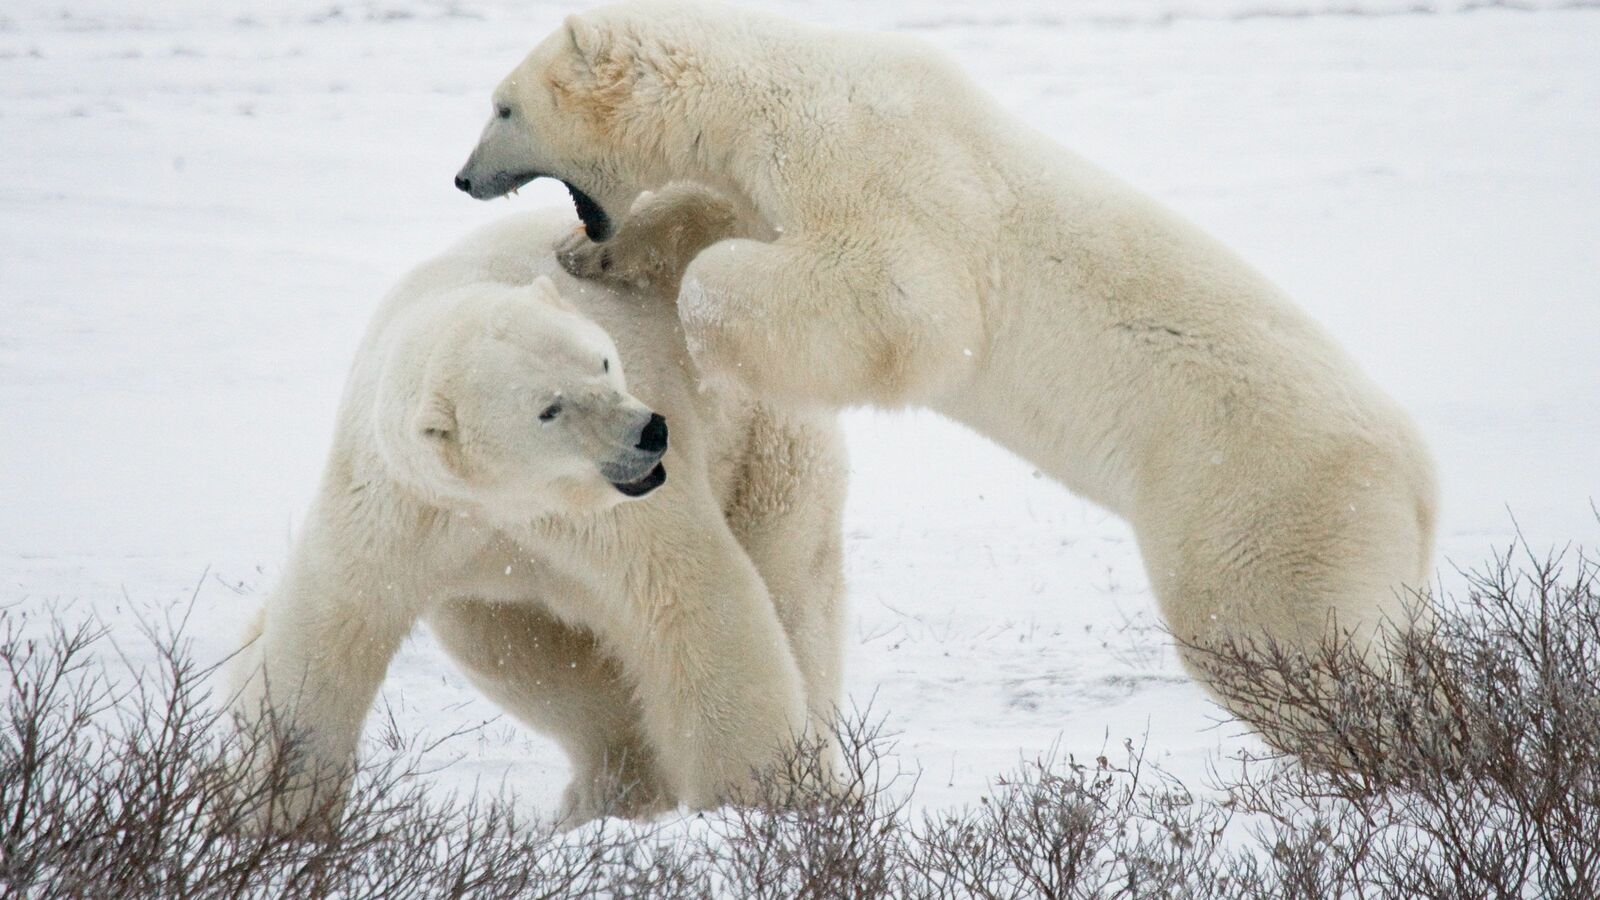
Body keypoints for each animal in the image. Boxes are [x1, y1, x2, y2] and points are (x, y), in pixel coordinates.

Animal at [232, 206, 851, 826]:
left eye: (603, 359)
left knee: (794, 594)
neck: (504, 501)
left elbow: (689, 600)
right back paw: (611, 790)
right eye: (549, 409)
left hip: (764, 440)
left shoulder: (613, 513)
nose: (651, 432)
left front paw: (765, 801)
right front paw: (271, 811)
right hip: (490, 596)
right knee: (521, 656)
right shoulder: (401, 504)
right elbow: (325, 628)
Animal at [451, 0, 1440, 730]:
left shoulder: (883, 169)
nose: (462, 178)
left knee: (1268, 632)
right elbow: (725, 215)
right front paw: (594, 254)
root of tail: (1419, 477)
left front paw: (700, 319)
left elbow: (897, 302)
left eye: (502, 107)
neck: (776, 92)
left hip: (1257, 499)